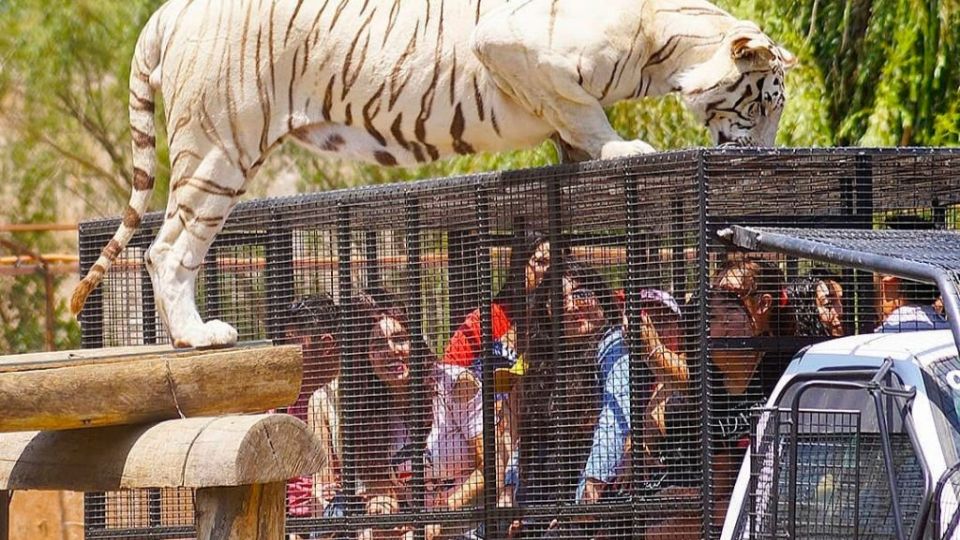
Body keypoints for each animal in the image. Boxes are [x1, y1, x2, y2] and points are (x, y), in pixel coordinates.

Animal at [71, 0, 796, 348]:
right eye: (763, 103)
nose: (766, 154)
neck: (663, 44)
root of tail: (167, 10)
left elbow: (572, 137)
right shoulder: (513, 45)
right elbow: (585, 113)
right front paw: (625, 151)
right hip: (221, 145)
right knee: (167, 249)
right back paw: (199, 337)